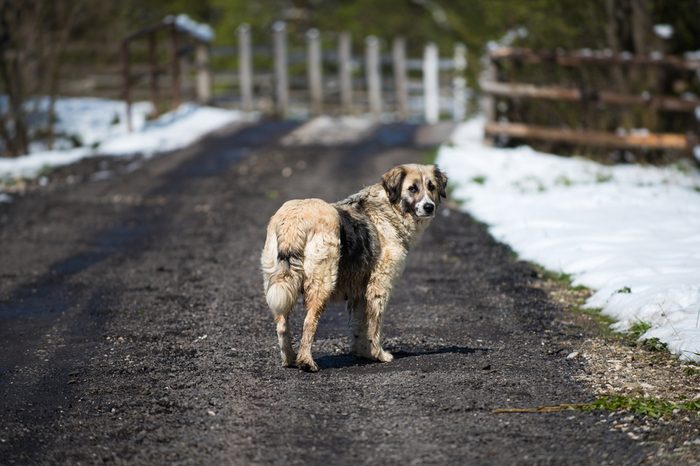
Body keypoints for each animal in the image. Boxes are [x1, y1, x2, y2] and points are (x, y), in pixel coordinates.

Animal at [260, 164, 446, 372]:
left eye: (431, 186)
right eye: (412, 188)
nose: (429, 206)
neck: (390, 209)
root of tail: (295, 220)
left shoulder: (359, 292)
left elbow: (360, 326)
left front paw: (363, 352)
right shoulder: (378, 286)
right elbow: (374, 325)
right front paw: (379, 355)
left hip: (276, 282)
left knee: (282, 324)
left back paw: (290, 359)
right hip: (323, 281)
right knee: (309, 322)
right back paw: (306, 361)